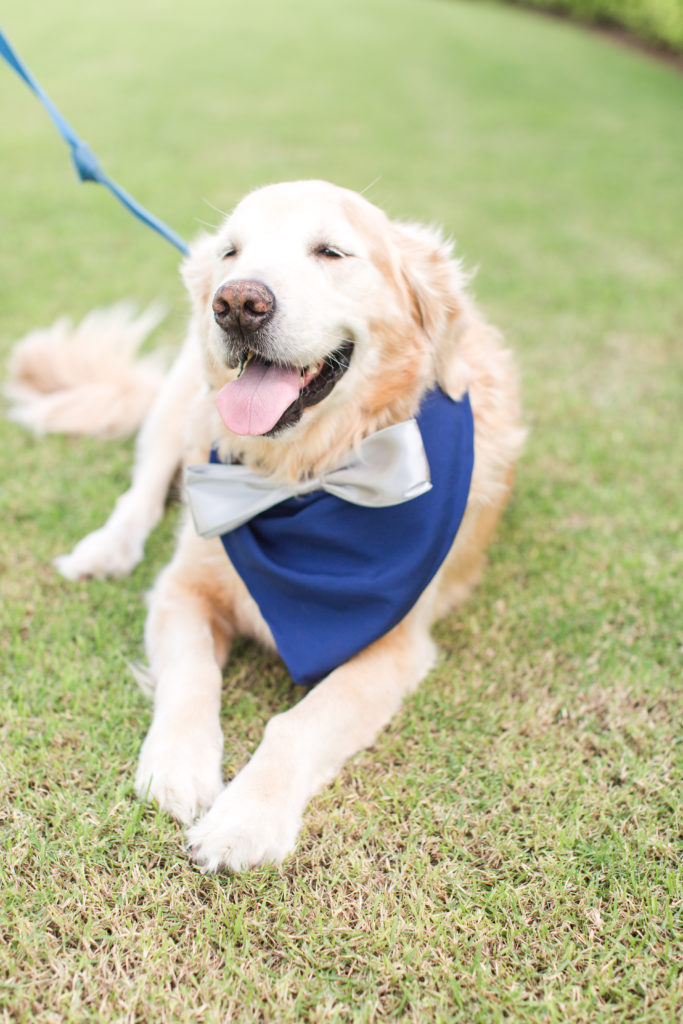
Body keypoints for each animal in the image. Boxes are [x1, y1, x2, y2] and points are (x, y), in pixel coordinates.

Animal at [6, 180, 524, 868]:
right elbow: (192, 675)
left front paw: (245, 819)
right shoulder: (181, 588)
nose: (236, 304)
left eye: (330, 251)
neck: (298, 480)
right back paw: (105, 549)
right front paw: (178, 767)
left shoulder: (393, 645)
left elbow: (299, 723)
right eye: (231, 252)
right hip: (181, 398)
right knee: (142, 490)